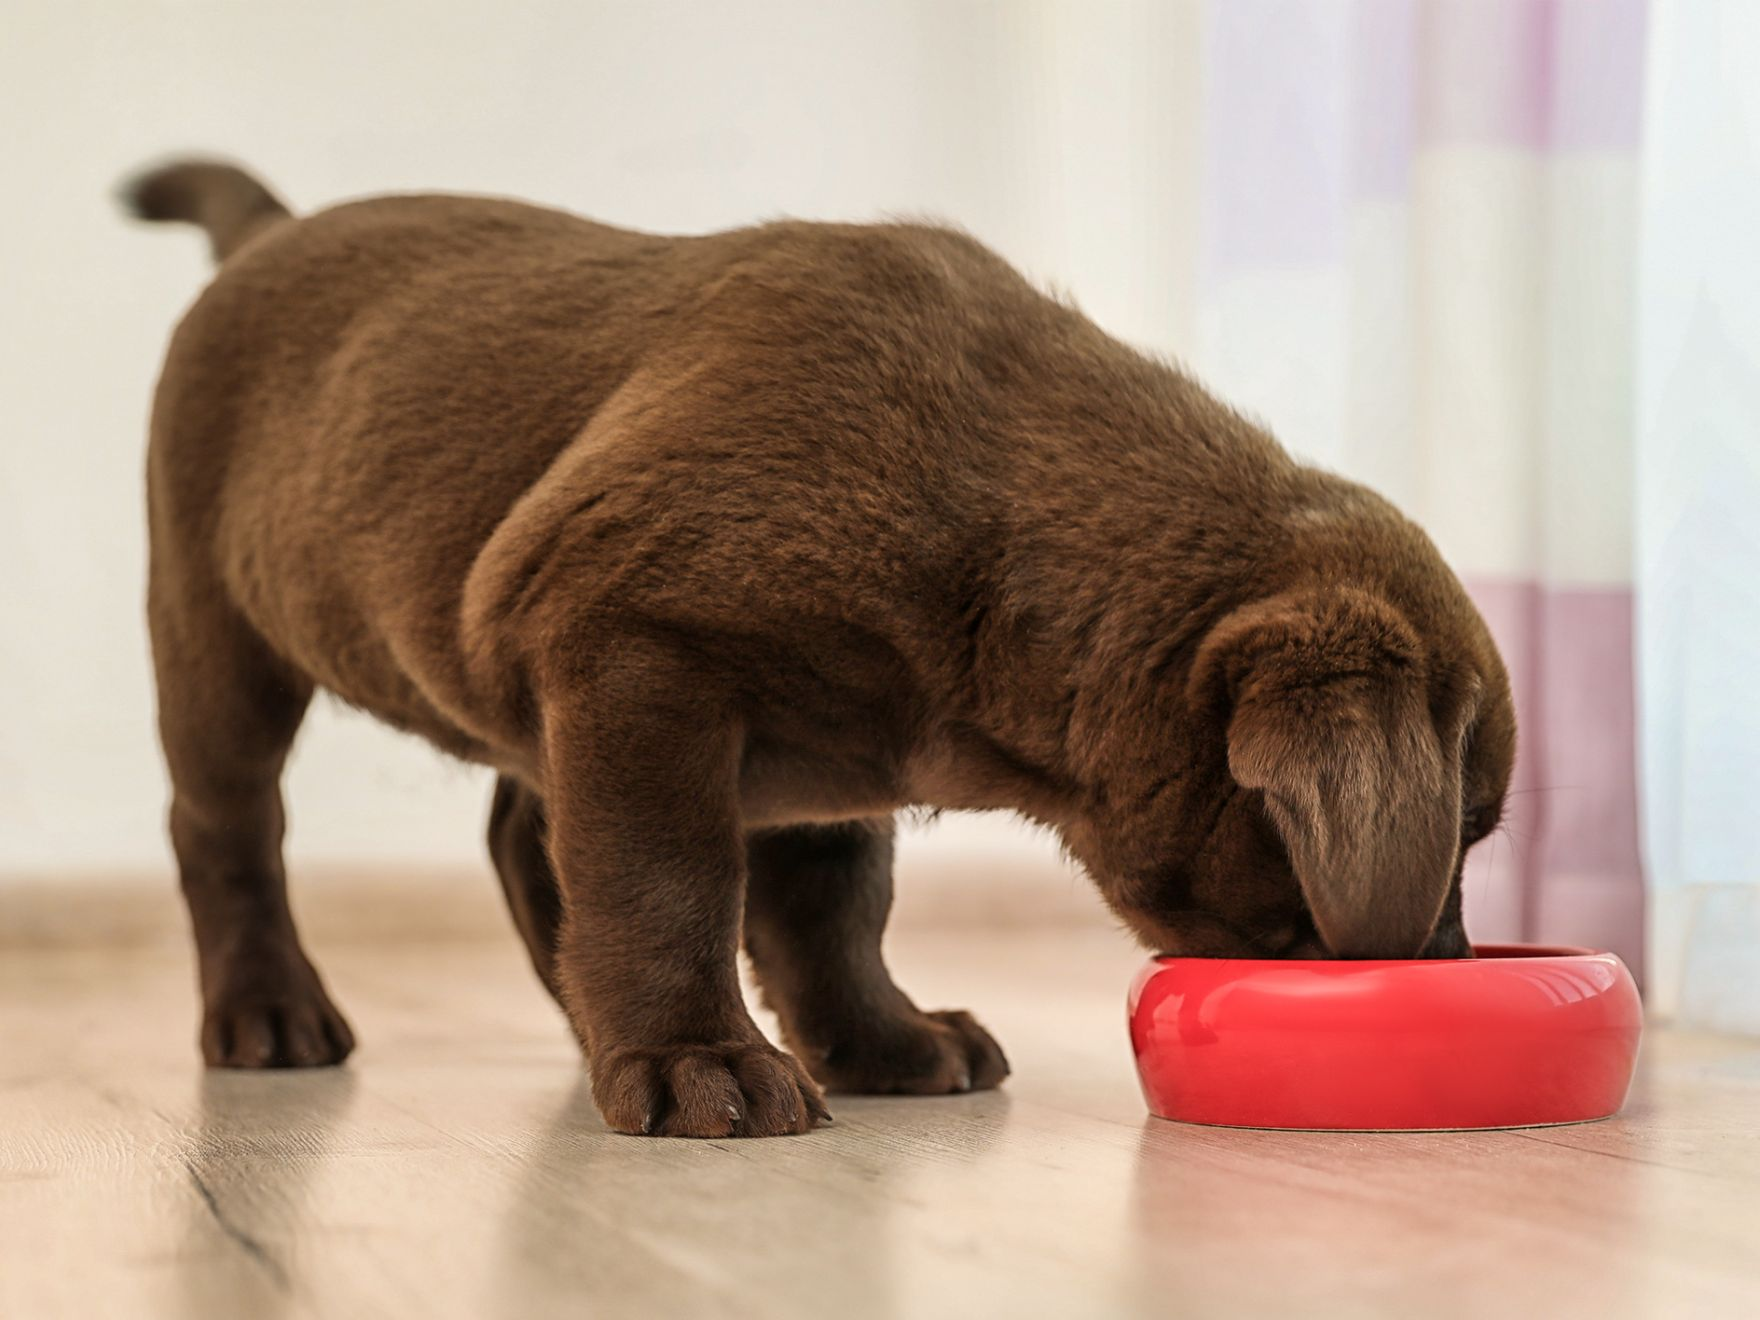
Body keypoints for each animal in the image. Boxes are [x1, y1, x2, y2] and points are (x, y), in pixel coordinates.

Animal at [130, 162, 1520, 1140]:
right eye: (1463, 829)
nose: (1450, 967)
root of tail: (268, 232)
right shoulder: (634, 654)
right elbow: (668, 878)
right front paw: (698, 1059)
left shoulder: (827, 757)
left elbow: (832, 918)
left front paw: (880, 1043)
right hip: (212, 625)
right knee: (228, 827)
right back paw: (269, 1012)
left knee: (522, 833)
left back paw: (578, 1020)